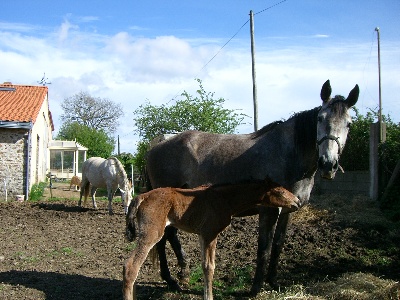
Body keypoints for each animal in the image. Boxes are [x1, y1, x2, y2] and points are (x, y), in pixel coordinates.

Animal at [145, 79, 358, 292]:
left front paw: (273, 282)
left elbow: (278, 245)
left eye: (348, 124)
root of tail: (157, 144)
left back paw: (183, 272)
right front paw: (256, 288)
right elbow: (264, 248)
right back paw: (171, 279)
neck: (288, 154)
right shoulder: (268, 211)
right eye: (320, 119)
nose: (328, 164)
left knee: (170, 234)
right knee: (163, 238)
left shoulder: (288, 210)